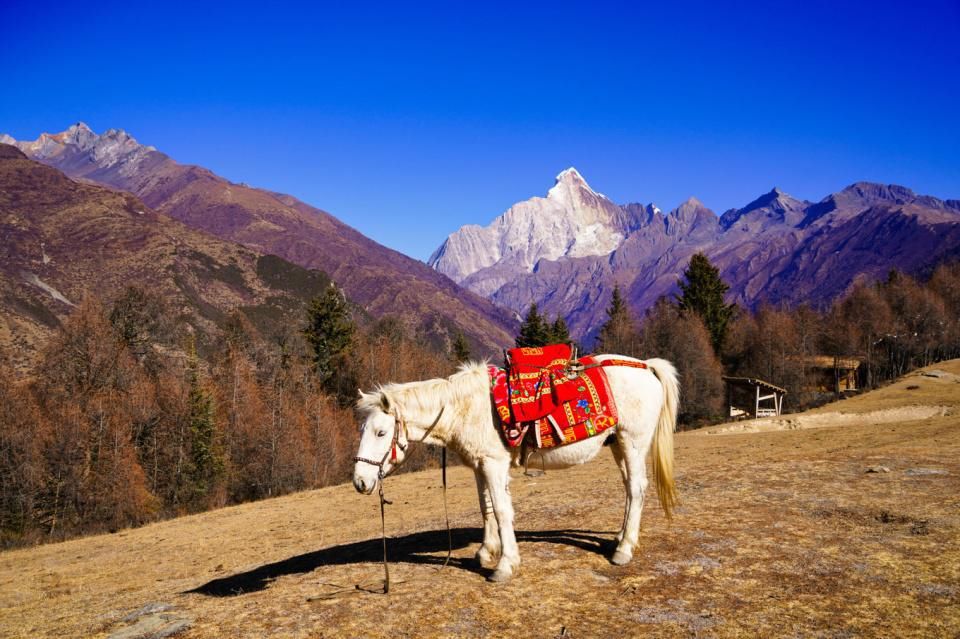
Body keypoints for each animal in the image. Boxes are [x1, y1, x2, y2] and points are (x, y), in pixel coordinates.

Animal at [354, 358, 684, 584]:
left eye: (381, 432)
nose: (360, 482)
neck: (465, 408)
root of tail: (646, 366)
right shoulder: (479, 465)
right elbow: (486, 507)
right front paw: (485, 552)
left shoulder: (494, 463)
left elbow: (502, 511)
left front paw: (504, 565)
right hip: (618, 445)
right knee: (629, 487)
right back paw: (621, 537)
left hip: (633, 441)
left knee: (637, 488)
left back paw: (624, 549)